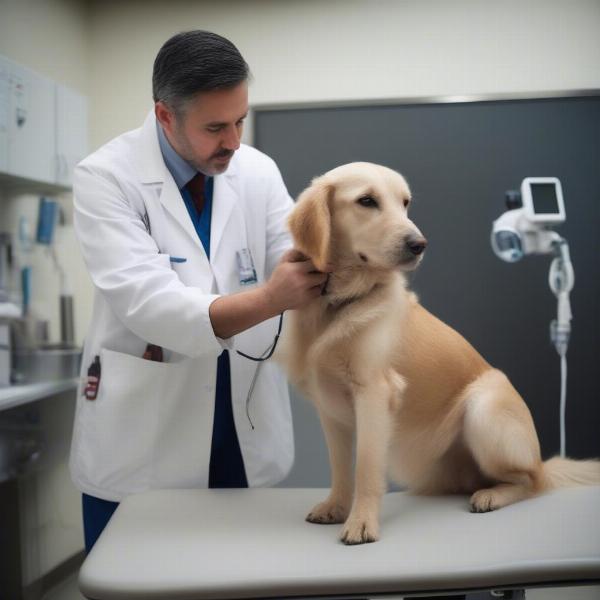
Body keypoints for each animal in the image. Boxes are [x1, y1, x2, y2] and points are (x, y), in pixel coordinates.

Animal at [278, 163, 600, 544]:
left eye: (405, 203)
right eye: (366, 201)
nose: (419, 244)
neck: (337, 304)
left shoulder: (374, 394)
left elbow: (366, 469)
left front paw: (362, 522)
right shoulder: (330, 409)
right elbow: (342, 469)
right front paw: (335, 507)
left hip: (482, 407)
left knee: (532, 480)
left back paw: (492, 495)